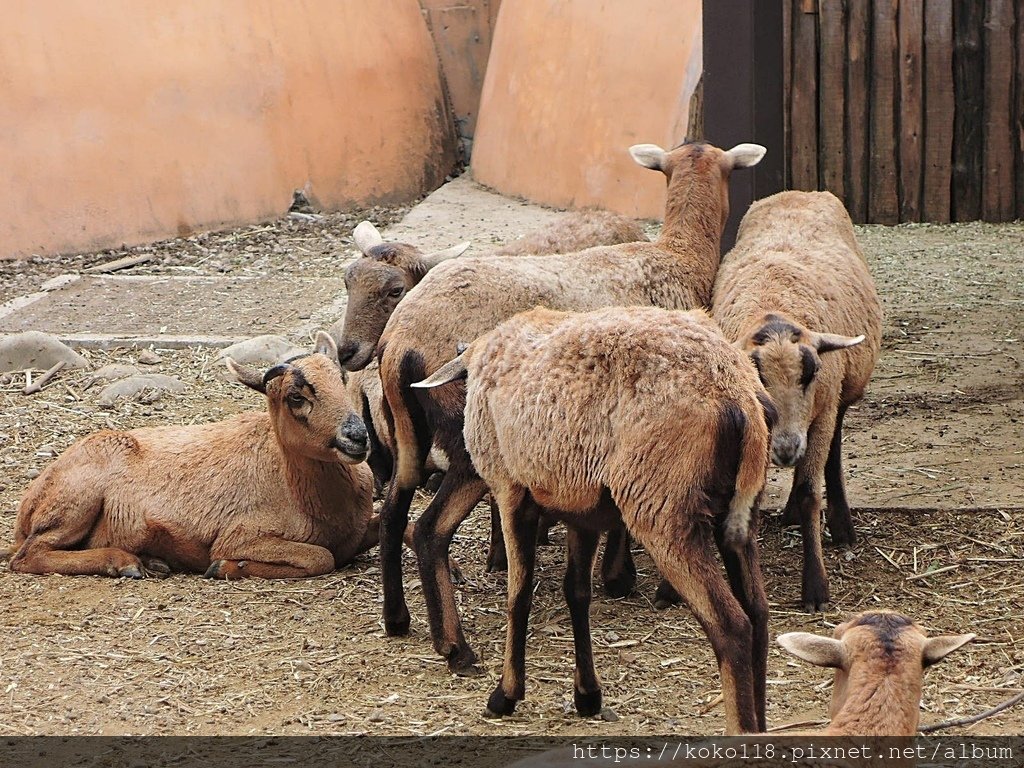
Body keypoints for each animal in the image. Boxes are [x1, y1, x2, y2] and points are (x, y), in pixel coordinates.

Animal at [372, 141, 765, 675]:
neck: (676, 257)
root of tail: (400, 340)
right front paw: (619, 576)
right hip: (468, 440)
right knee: (430, 528)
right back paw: (456, 647)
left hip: (408, 431)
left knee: (395, 511)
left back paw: (400, 620)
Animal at [415, 307, 774, 733]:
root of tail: (736, 396)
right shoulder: (582, 513)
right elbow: (577, 594)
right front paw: (587, 695)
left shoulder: (510, 491)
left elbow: (519, 595)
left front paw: (506, 694)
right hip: (738, 516)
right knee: (758, 614)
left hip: (664, 509)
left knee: (732, 626)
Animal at [708, 191, 884, 614]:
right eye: (757, 378)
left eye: (810, 373)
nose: (787, 449)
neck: (773, 305)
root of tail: (798, 192)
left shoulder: (819, 411)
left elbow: (808, 493)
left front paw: (816, 587)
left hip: (838, 399)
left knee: (832, 450)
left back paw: (841, 524)